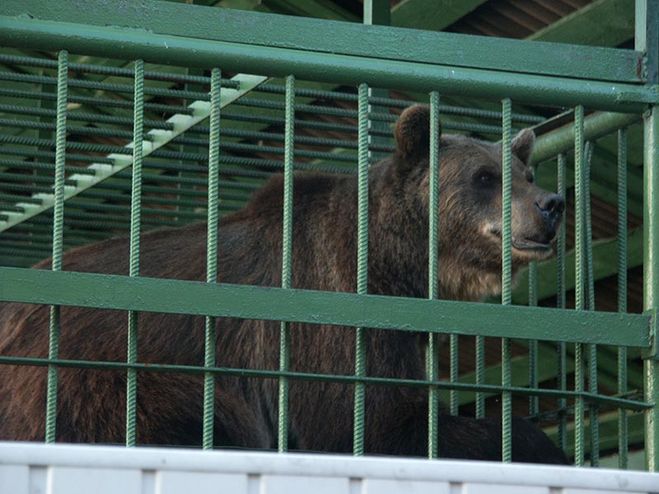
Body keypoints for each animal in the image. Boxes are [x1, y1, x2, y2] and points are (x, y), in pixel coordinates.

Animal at [0, 105, 568, 464]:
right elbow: (375, 426)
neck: (395, 267)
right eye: (484, 177)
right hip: (85, 379)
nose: (552, 205)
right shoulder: (330, 313)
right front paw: (542, 445)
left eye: (527, 173)